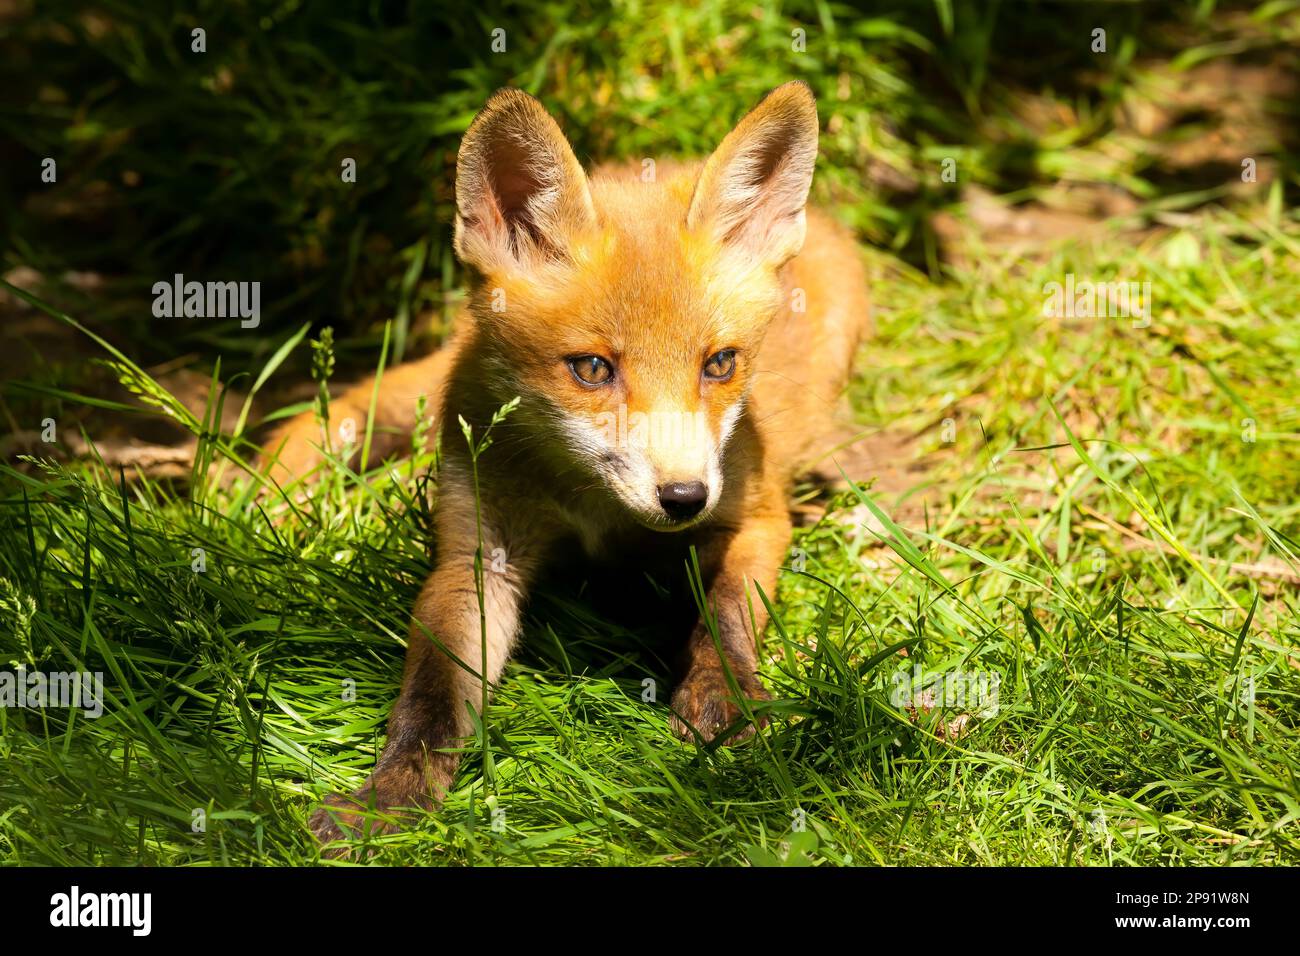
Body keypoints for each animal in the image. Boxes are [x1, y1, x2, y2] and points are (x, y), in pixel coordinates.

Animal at [261, 82, 873, 842]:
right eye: (592, 368)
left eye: (721, 364)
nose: (684, 497)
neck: (596, 510)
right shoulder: (479, 555)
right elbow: (431, 696)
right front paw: (390, 793)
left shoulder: (753, 516)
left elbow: (725, 614)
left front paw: (725, 700)